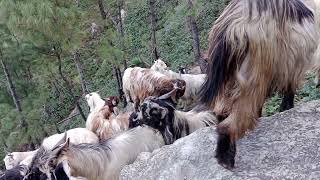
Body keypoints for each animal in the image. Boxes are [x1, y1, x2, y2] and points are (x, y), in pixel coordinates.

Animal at [201, 0, 318, 169]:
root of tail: (232, 25)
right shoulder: (293, 62)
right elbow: (289, 89)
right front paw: (286, 108)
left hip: (229, 76)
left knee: (222, 111)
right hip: (254, 72)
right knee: (234, 118)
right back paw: (226, 159)